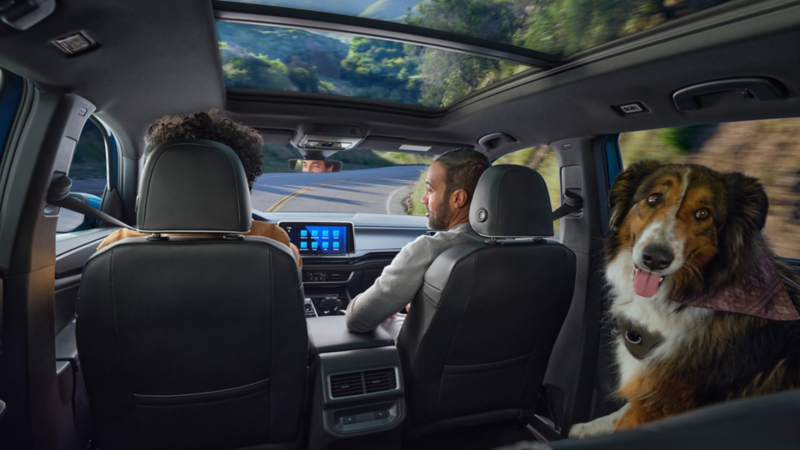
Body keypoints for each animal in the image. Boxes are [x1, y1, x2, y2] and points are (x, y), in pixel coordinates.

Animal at [568, 160, 800, 438]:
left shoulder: (664, 400)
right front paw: (586, 428)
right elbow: (621, 413)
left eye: (703, 213)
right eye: (653, 199)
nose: (655, 259)